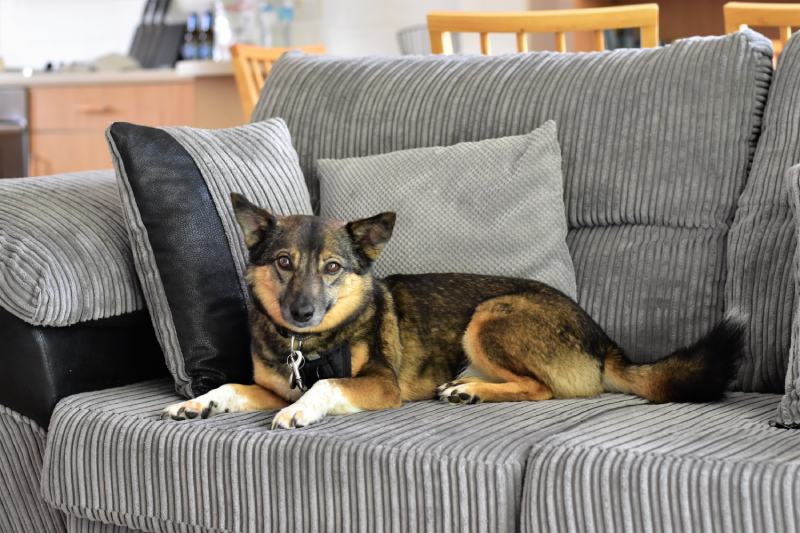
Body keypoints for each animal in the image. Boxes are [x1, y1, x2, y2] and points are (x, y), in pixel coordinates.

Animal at [166, 192, 748, 428]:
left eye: (332, 267)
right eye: (284, 262)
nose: (302, 312)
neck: (307, 345)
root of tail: (604, 340)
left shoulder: (380, 386)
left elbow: (327, 385)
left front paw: (300, 410)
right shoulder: (267, 385)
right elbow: (232, 387)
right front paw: (198, 403)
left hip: (491, 315)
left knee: (542, 388)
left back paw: (472, 390)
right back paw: (467, 387)